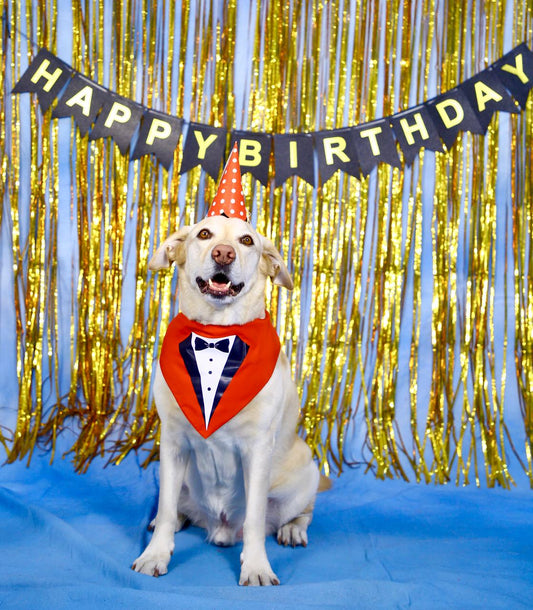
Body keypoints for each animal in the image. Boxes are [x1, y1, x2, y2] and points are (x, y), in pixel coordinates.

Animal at [132, 214, 324, 584]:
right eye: (204, 234)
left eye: (247, 240)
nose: (224, 253)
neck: (215, 333)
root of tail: (219, 528)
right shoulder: (173, 442)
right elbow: (165, 508)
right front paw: (155, 554)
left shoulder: (257, 450)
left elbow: (254, 519)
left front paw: (257, 567)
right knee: (175, 507)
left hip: (306, 471)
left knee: (301, 511)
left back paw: (292, 529)